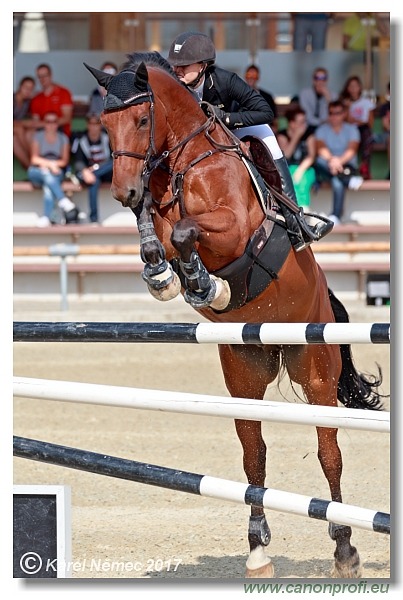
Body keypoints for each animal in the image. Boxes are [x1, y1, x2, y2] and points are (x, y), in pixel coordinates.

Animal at [83, 54, 384, 580]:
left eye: (141, 120)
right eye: (103, 123)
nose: (122, 191)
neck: (184, 161)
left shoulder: (233, 228)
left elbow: (185, 232)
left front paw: (206, 283)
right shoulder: (157, 214)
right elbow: (155, 235)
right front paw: (164, 277)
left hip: (316, 369)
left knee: (329, 453)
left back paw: (345, 550)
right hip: (244, 370)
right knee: (253, 456)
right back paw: (258, 550)